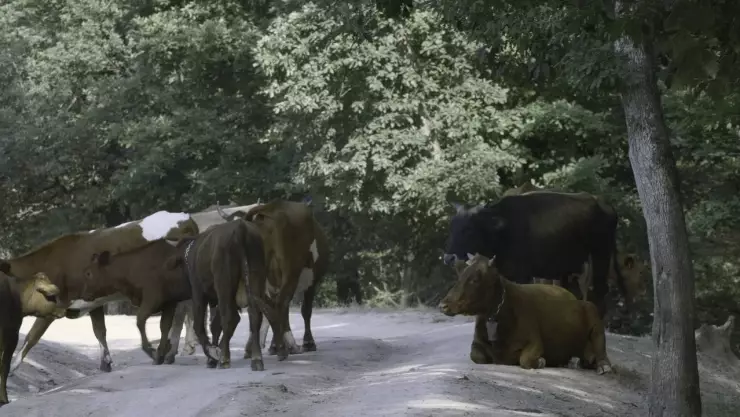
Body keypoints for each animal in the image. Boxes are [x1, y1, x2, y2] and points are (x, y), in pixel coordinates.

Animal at [4, 204, 258, 374]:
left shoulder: (56, 303)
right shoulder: (93, 300)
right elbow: (100, 330)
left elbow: (33, 335)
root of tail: (185, 217)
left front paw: (12, 368)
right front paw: (105, 362)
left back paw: (175, 351)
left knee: (183, 313)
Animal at [165, 218, 278, 370]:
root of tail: (240, 226)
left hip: (224, 283)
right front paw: (213, 354)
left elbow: (200, 325)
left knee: (230, 317)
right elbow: (215, 325)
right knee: (254, 315)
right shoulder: (215, 299)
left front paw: (212, 353)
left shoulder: (199, 293)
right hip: (255, 277)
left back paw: (224, 358)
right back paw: (256, 359)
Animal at [215, 200, 329, 360]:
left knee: (265, 307)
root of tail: (271, 207)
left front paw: (273, 345)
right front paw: (308, 342)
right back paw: (290, 345)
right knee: (281, 304)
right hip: (290, 270)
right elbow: (305, 310)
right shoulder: (311, 280)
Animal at [439, 255, 613, 374]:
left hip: (592, 311)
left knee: (600, 347)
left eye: (475, 279)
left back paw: (603, 366)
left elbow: (525, 360)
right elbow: (476, 356)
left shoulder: (535, 342)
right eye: (460, 276)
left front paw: (541, 361)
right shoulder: (477, 343)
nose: (443, 305)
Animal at [443, 191, 626, 318]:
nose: (448, 257)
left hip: (600, 256)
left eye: (469, 228)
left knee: (600, 293)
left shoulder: (522, 275)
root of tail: (604, 204)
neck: (503, 232)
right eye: (452, 226)